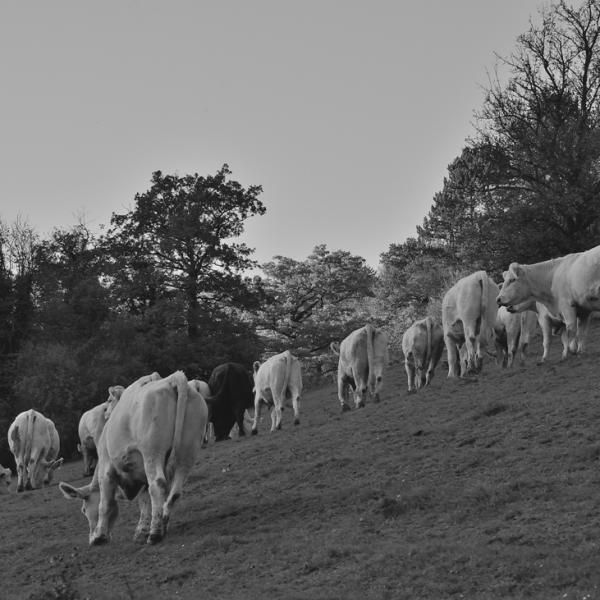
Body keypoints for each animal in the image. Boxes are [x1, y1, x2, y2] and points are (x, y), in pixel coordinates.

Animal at [59, 370, 209, 544]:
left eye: (84, 509)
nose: (90, 537)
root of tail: (173, 379)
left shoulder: (106, 467)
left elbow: (105, 504)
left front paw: (99, 536)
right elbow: (144, 501)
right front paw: (141, 530)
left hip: (152, 453)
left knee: (158, 485)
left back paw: (155, 533)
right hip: (187, 452)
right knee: (175, 492)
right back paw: (162, 523)